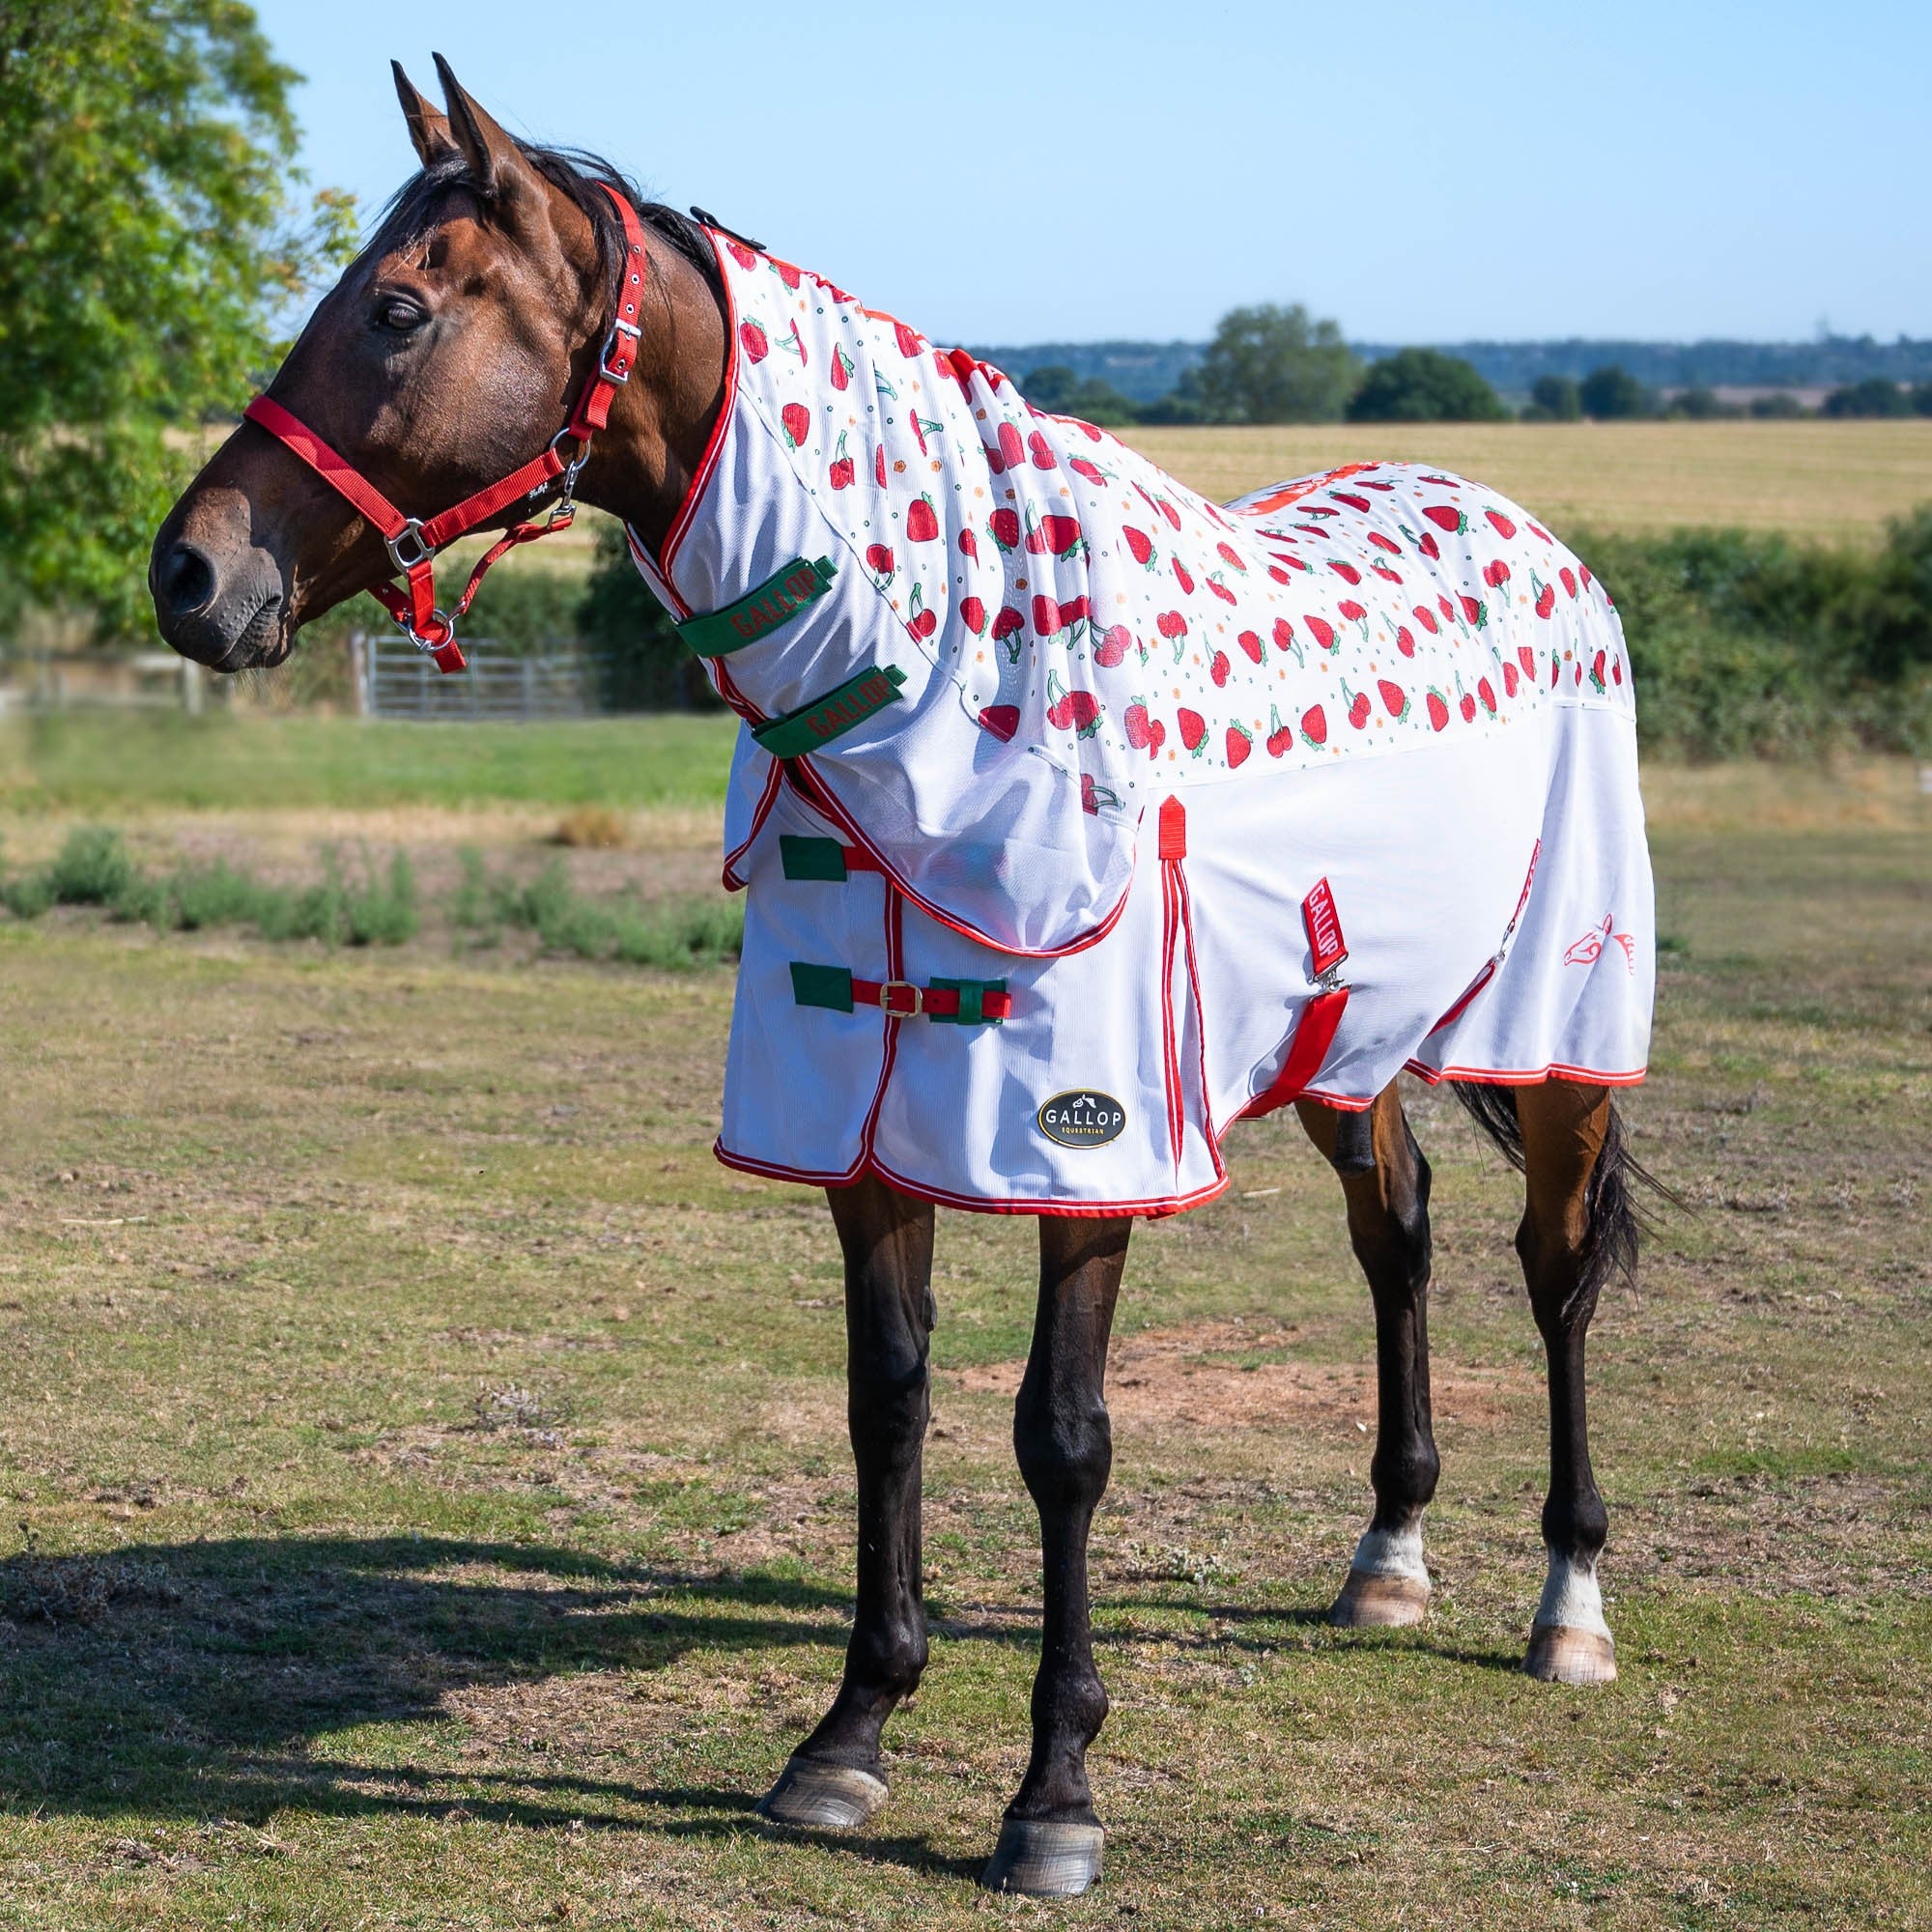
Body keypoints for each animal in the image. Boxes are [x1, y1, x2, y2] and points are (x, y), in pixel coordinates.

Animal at [155, 60, 1662, 1901]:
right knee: (1405, 1237)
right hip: (1344, 1041)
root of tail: (1534, 538)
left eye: (396, 307)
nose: (189, 574)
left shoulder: (1092, 1147)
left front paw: (1054, 1798)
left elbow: (1061, 1442)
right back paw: (1389, 1553)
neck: (931, 709)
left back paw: (1567, 1606)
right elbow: (889, 1403)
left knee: (1555, 1271)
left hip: (1558, 1036)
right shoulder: (862, 1133)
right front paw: (849, 1737)